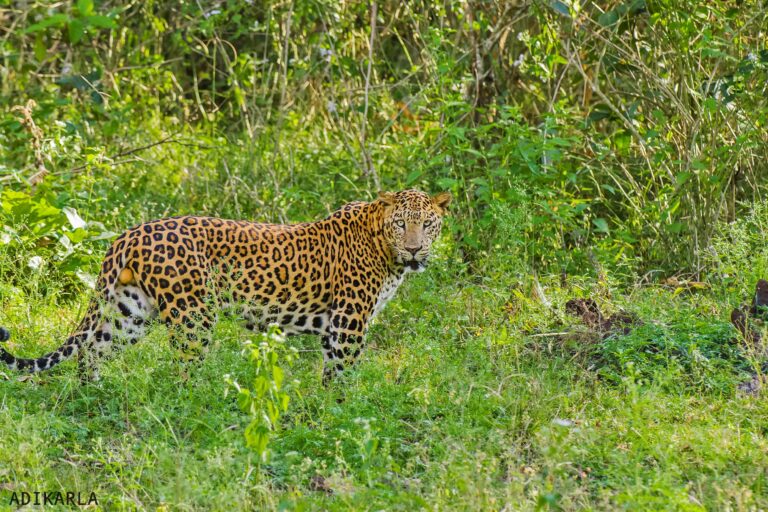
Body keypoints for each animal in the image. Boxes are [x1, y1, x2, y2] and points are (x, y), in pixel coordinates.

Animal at [0, 190, 452, 382]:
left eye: (428, 224)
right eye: (401, 224)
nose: (415, 249)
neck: (384, 247)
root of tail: (130, 233)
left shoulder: (336, 328)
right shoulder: (348, 324)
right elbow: (343, 375)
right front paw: (341, 415)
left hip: (132, 310)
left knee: (92, 349)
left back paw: (92, 394)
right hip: (193, 314)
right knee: (183, 370)